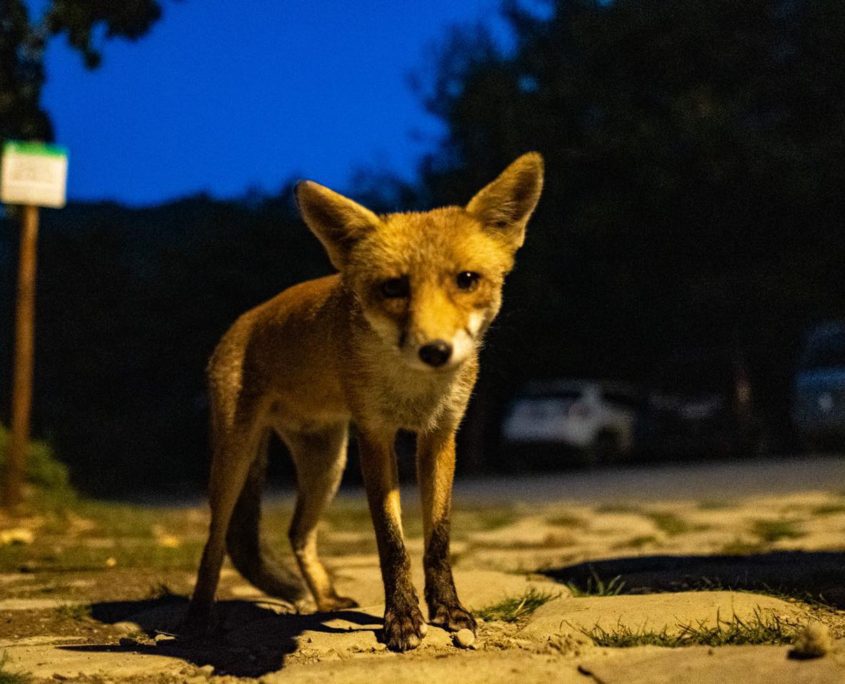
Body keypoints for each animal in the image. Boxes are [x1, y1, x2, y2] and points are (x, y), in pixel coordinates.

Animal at [187, 152, 544, 651]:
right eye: (394, 288)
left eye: (467, 280)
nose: (435, 350)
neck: (413, 390)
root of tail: (242, 321)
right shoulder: (375, 436)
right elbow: (392, 542)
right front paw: (402, 619)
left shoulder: (440, 436)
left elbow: (437, 540)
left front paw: (448, 610)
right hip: (235, 460)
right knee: (215, 542)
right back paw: (199, 619)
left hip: (327, 464)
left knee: (298, 532)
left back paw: (325, 600)